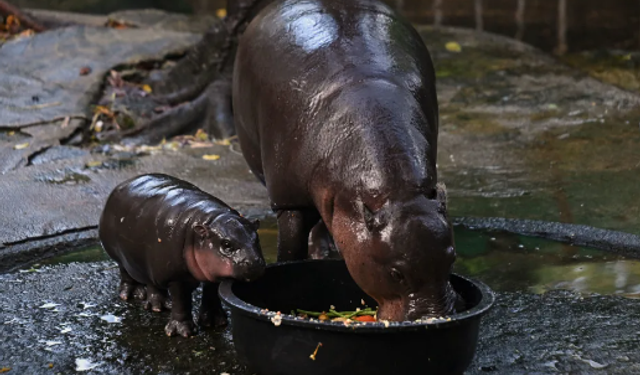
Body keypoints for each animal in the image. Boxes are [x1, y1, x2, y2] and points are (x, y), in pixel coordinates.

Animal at [99, 175, 264, 340]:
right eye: (226, 244)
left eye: (256, 239)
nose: (255, 263)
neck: (209, 220)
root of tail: (123, 183)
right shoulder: (177, 277)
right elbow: (181, 301)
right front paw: (182, 332)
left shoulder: (212, 272)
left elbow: (211, 293)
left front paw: (215, 322)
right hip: (120, 255)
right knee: (125, 272)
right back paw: (134, 294)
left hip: (151, 260)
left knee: (152, 281)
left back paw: (158, 306)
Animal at [232, 0, 462, 324]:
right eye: (396, 273)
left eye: (452, 258)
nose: (433, 316)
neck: (397, 193)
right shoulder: (289, 200)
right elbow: (290, 248)